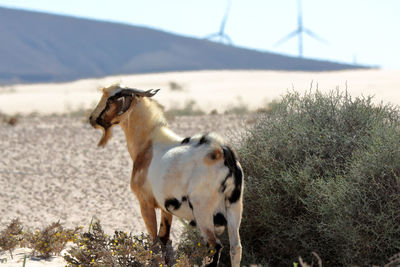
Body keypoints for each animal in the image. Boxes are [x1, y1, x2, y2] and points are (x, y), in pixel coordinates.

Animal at [88, 85, 242, 266]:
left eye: (109, 99)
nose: (92, 118)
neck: (148, 143)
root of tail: (222, 152)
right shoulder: (165, 208)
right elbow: (164, 240)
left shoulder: (145, 203)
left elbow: (154, 243)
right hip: (234, 207)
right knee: (235, 248)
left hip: (203, 211)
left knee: (215, 246)